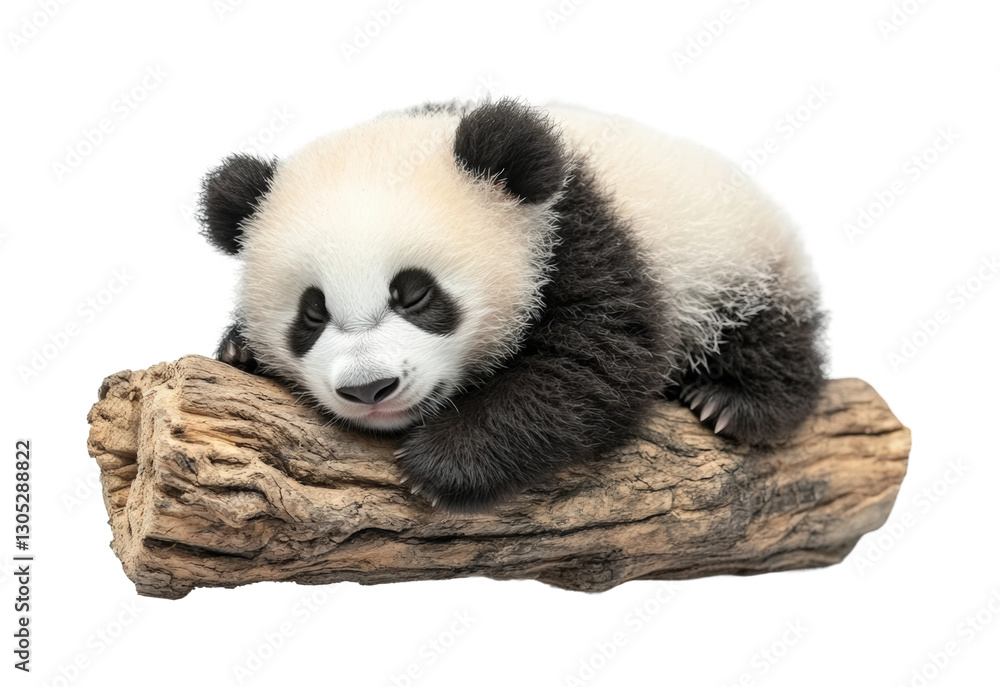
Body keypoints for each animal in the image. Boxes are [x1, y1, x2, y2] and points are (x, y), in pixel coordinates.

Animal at [200, 97, 826, 511]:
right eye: (313, 312)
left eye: (415, 293)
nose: (370, 389)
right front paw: (240, 349)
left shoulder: (582, 239)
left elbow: (591, 364)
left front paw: (440, 465)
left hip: (733, 256)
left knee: (769, 331)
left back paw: (732, 402)